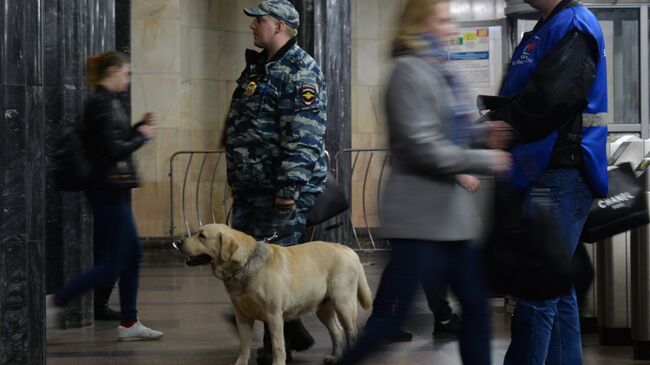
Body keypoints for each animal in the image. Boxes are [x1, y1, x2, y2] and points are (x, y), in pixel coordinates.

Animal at [175, 222, 372, 364]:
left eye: (202, 236)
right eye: (196, 232)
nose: (178, 242)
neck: (245, 265)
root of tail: (346, 249)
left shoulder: (274, 316)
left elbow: (278, 346)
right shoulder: (242, 316)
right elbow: (243, 345)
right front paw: (240, 362)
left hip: (343, 303)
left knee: (351, 332)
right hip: (324, 307)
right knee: (337, 332)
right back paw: (335, 357)